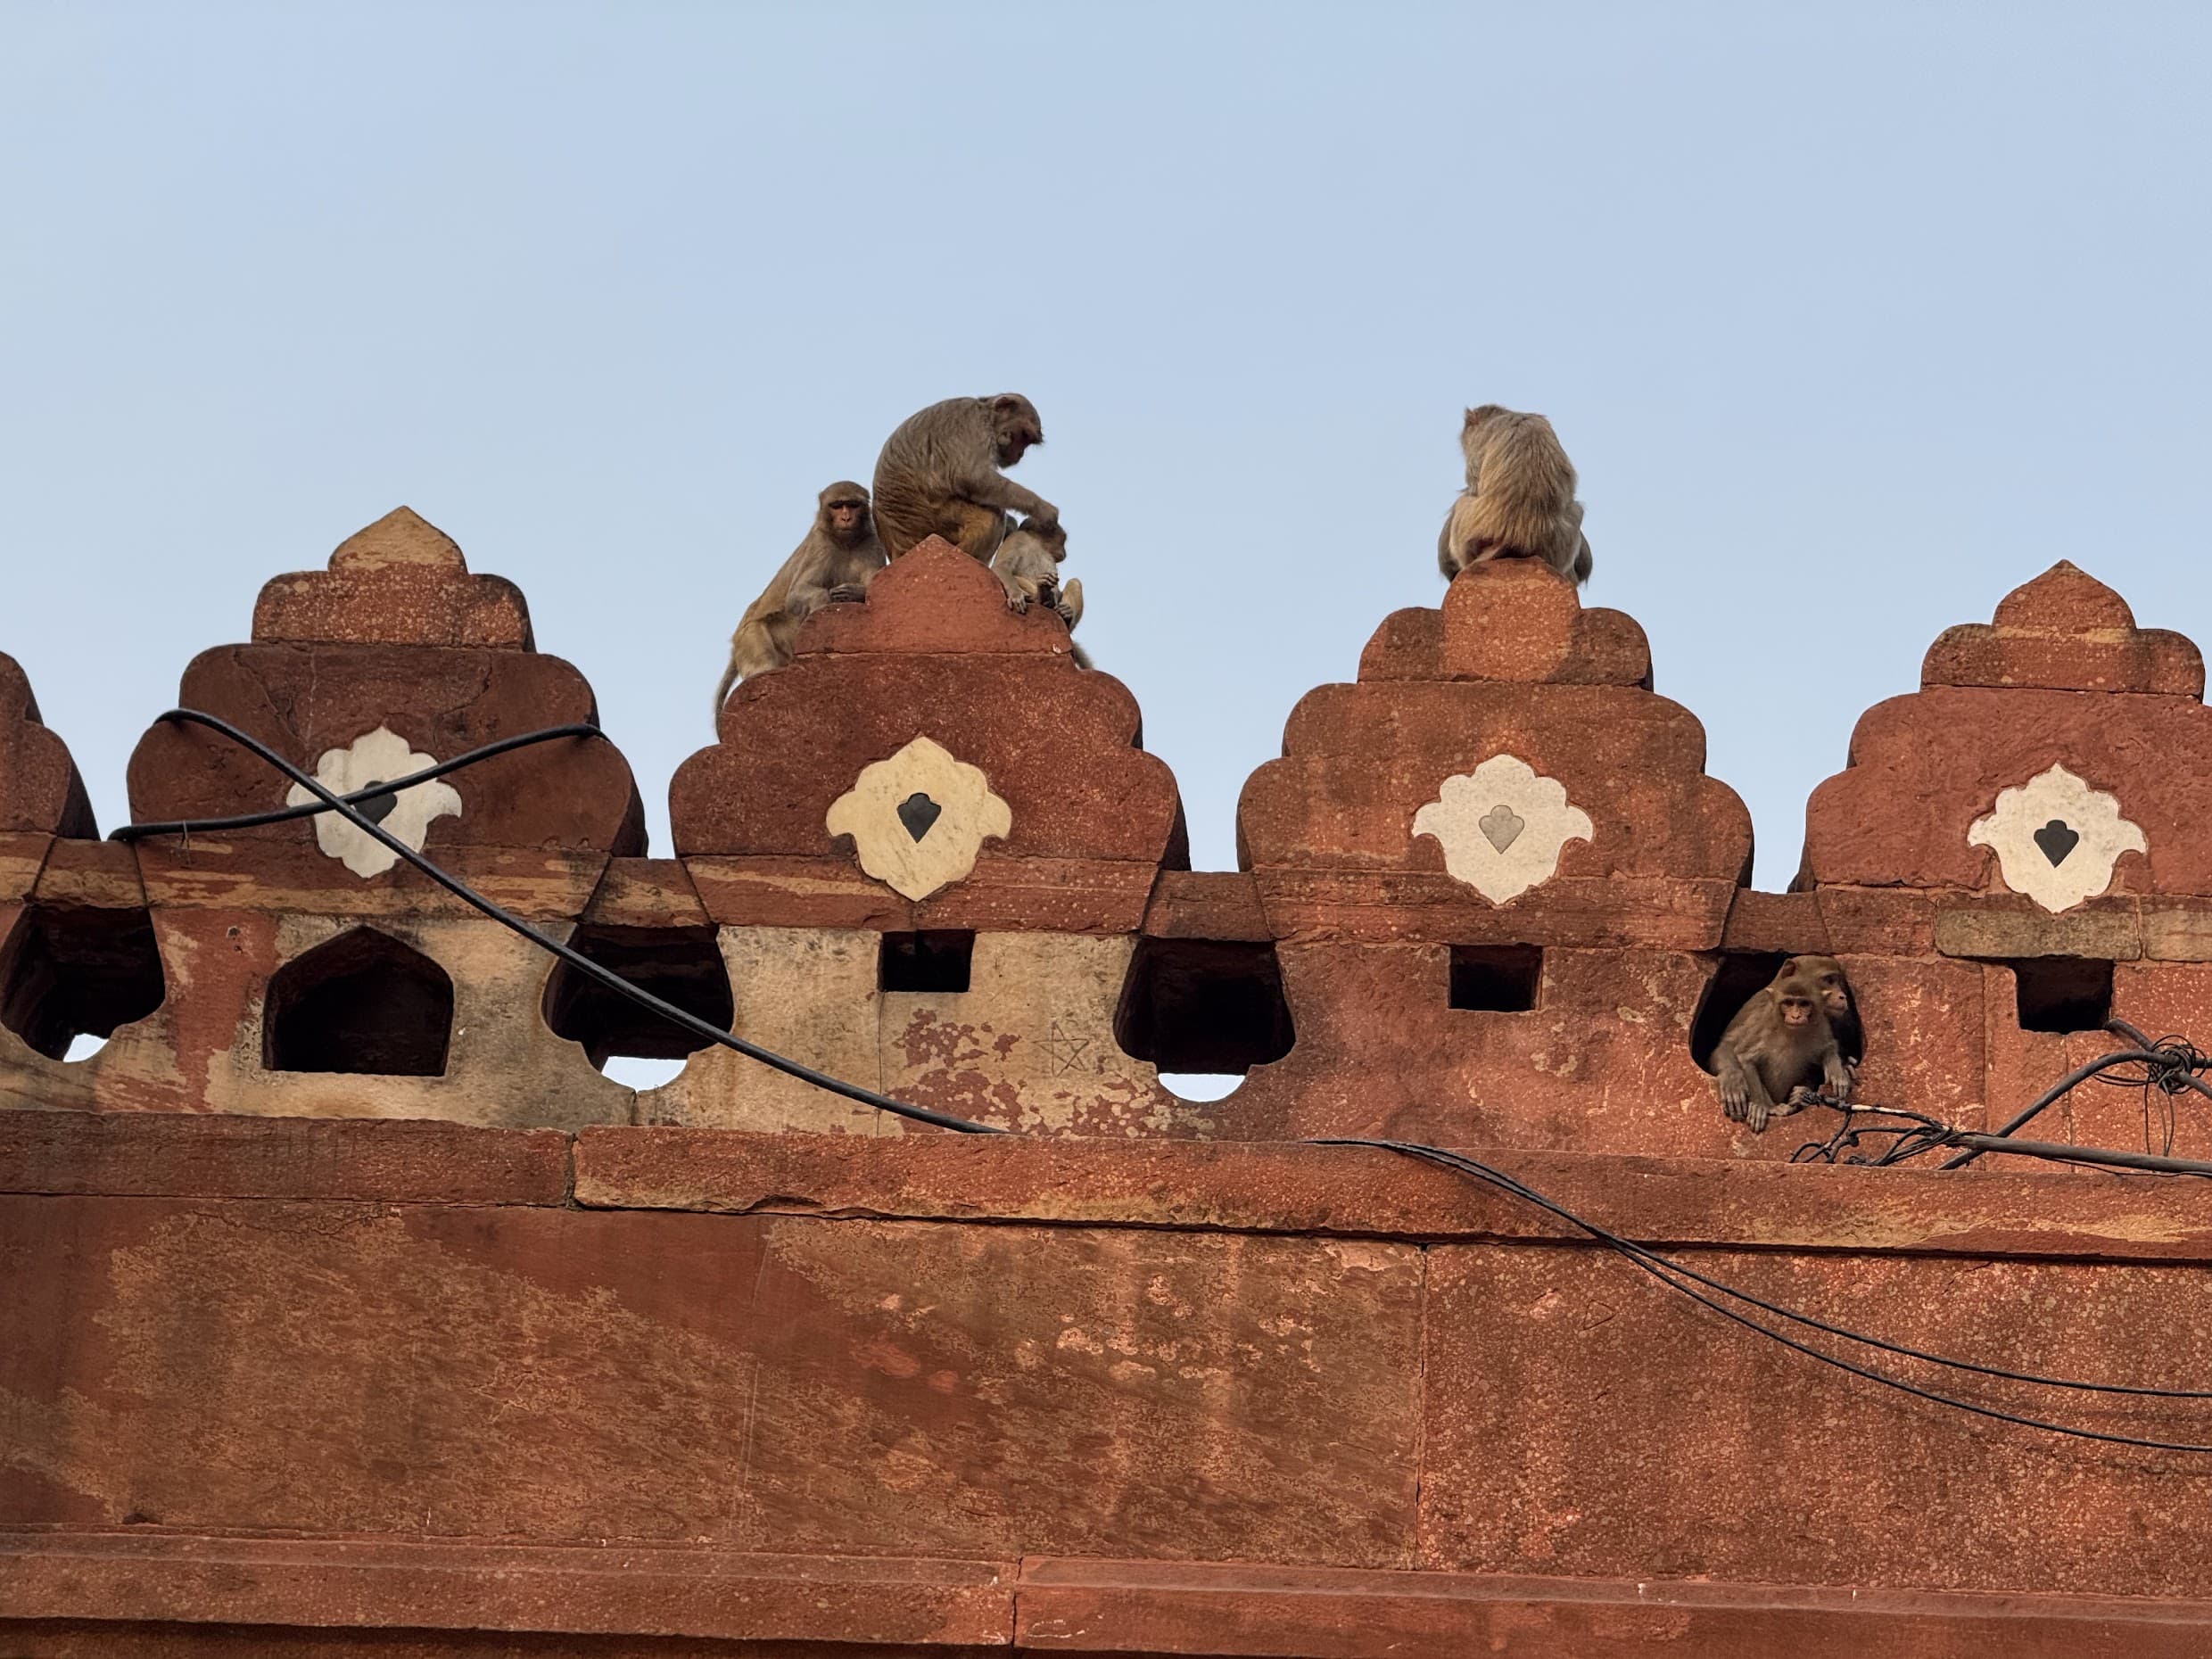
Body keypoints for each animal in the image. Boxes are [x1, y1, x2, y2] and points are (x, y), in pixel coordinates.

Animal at [714, 481, 886, 720]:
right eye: (837, 506)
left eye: (852, 505)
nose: (846, 518)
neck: (846, 543)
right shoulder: (820, 545)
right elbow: (796, 595)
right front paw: (827, 601)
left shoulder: (872, 542)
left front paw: (853, 593)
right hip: (750, 636)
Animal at [871, 394, 1056, 565]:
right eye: (1024, 435)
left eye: (1028, 441)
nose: (1020, 454)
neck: (986, 413)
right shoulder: (974, 425)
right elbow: (972, 476)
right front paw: (1041, 508)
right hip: (933, 519)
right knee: (992, 515)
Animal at [991, 516, 1091, 668]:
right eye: (1063, 540)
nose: (1065, 552)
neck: (1036, 542)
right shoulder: (1017, 538)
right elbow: (1001, 566)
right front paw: (1016, 595)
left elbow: (1058, 588)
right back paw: (1040, 597)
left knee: (1074, 582)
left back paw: (1064, 617)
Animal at [1710, 961, 1853, 1133]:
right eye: (1829, 980)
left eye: (1804, 1004)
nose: (1796, 1016)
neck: (1790, 1032)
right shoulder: (1763, 1018)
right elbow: (1742, 1056)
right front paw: (1757, 1103)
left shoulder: (1820, 1024)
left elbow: (1829, 1047)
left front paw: (1838, 1072)